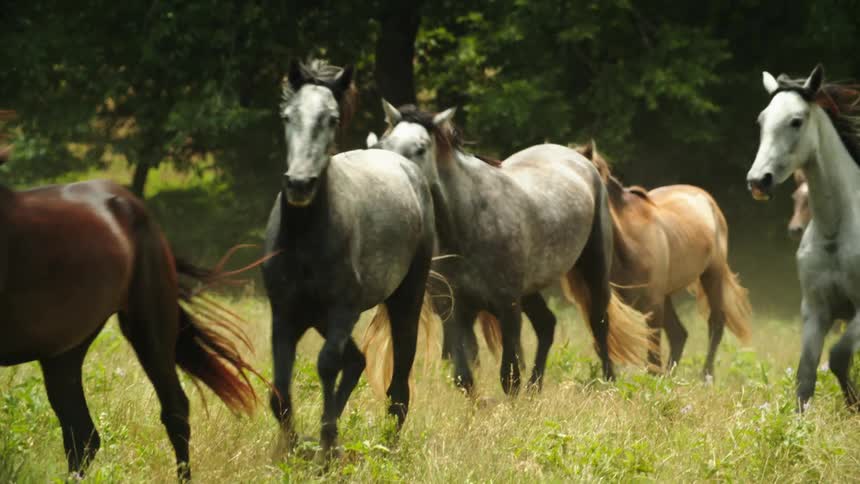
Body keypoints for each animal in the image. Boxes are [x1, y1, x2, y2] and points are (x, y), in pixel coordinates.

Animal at [263, 60, 435, 457]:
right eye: (287, 115)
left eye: (332, 118)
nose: (299, 184)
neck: (305, 239)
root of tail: (401, 162)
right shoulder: (285, 314)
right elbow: (279, 393)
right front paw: (292, 450)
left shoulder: (343, 311)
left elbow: (327, 366)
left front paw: (327, 449)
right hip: (318, 317)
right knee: (356, 361)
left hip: (405, 300)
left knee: (397, 385)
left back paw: (388, 446)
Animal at [370, 102, 653, 397]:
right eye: (383, 144)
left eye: (421, 148)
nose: (390, 182)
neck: (467, 223)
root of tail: (579, 159)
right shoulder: (455, 309)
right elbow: (463, 377)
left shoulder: (508, 306)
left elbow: (509, 377)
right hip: (530, 289)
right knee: (547, 325)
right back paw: (535, 387)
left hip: (593, 269)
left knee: (599, 323)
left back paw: (609, 382)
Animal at [574, 141, 752, 379]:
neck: (629, 239)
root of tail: (705, 197)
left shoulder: (653, 304)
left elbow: (652, 352)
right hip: (667, 294)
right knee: (679, 334)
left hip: (711, 275)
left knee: (716, 323)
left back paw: (706, 376)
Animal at [747, 64, 860, 411]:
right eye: (761, 120)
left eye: (796, 121)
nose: (758, 181)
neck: (834, 231)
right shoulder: (815, 310)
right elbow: (805, 377)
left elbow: (838, 357)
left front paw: (854, 405)